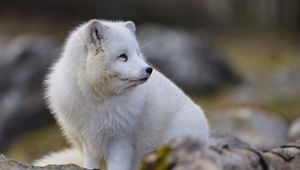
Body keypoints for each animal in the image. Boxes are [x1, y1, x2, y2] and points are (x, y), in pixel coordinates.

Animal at [34, 18, 209, 170]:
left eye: (137, 53)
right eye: (123, 56)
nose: (149, 70)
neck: (99, 99)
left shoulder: (121, 142)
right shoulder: (89, 141)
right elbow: (90, 164)